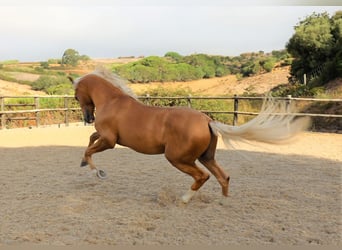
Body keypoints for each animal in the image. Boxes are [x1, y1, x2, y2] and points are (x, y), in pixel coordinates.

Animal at [69, 67, 310, 204]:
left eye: (76, 95)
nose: (88, 117)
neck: (112, 101)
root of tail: (207, 120)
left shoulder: (110, 141)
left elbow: (90, 149)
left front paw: (97, 172)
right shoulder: (105, 136)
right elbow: (90, 140)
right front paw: (83, 163)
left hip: (178, 158)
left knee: (202, 177)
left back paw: (184, 199)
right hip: (206, 156)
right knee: (223, 176)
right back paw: (224, 201)